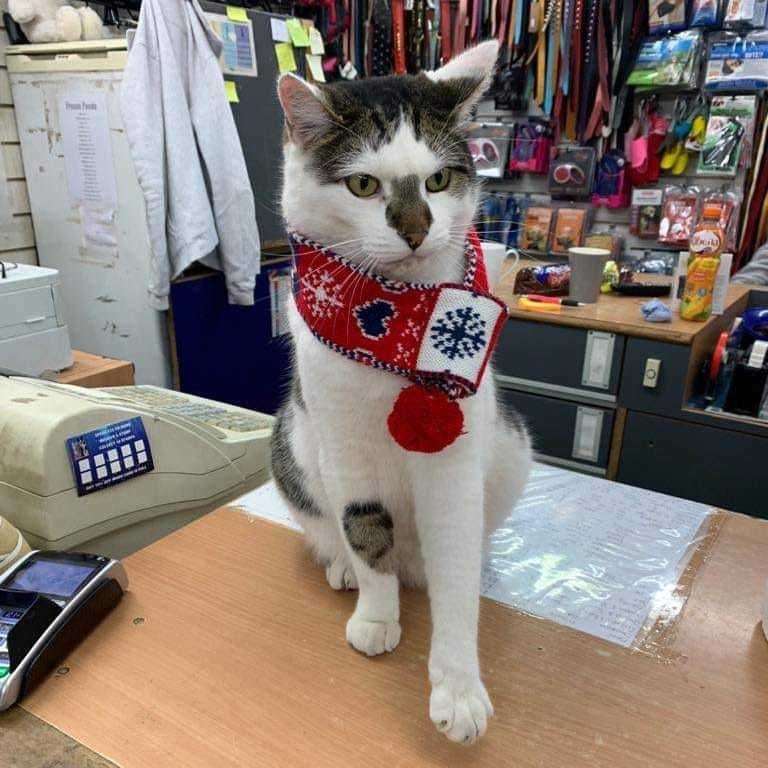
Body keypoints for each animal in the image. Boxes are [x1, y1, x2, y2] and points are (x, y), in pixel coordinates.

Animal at [272, 42, 532, 744]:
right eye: (363, 185)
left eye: (439, 181)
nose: (416, 230)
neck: (394, 322)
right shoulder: (340, 441)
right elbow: (364, 530)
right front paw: (376, 615)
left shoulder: (455, 463)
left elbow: (454, 570)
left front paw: (458, 688)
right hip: (293, 445)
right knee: (332, 529)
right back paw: (343, 569)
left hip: (511, 451)